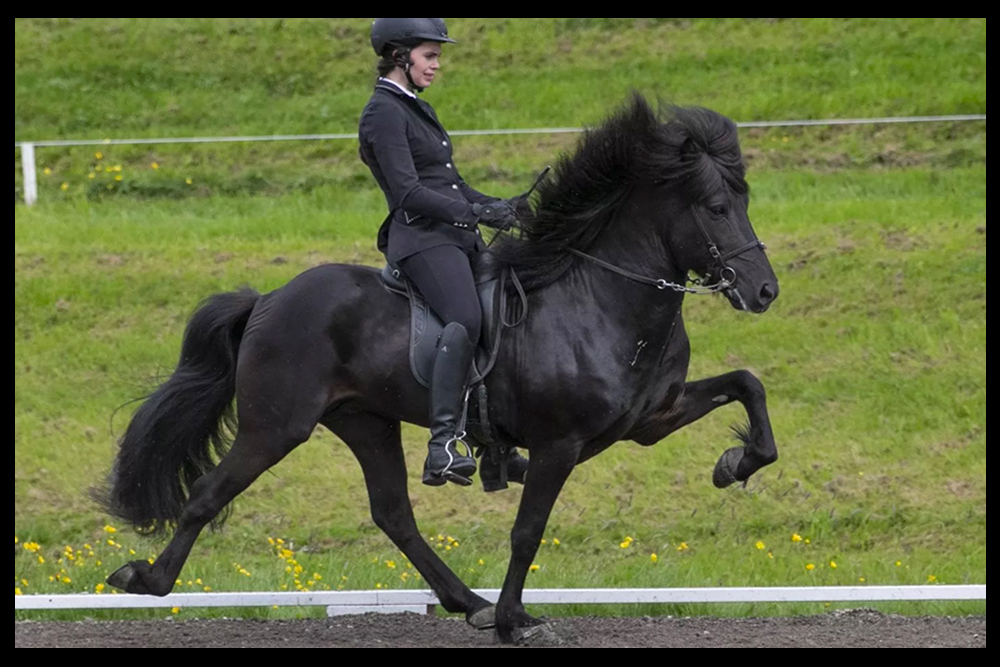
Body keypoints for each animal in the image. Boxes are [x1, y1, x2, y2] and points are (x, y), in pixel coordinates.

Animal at [95, 94, 780, 640]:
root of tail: (267, 299)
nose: (764, 291)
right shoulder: (559, 442)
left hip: (365, 422)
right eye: (716, 207)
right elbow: (528, 530)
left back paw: (468, 602)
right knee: (210, 492)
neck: (601, 298)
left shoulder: (649, 420)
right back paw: (145, 578)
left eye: (744, 200)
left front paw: (735, 463)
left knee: (393, 514)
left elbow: (748, 385)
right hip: (277, 426)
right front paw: (515, 622)